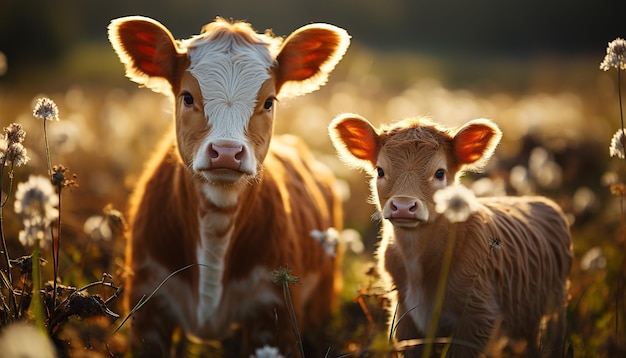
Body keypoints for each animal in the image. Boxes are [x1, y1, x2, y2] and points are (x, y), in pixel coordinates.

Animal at [330, 114, 572, 356]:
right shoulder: (405, 317)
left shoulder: (479, 317)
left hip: (555, 307)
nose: (403, 206)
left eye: (440, 173)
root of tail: (538, 200)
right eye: (380, 170)